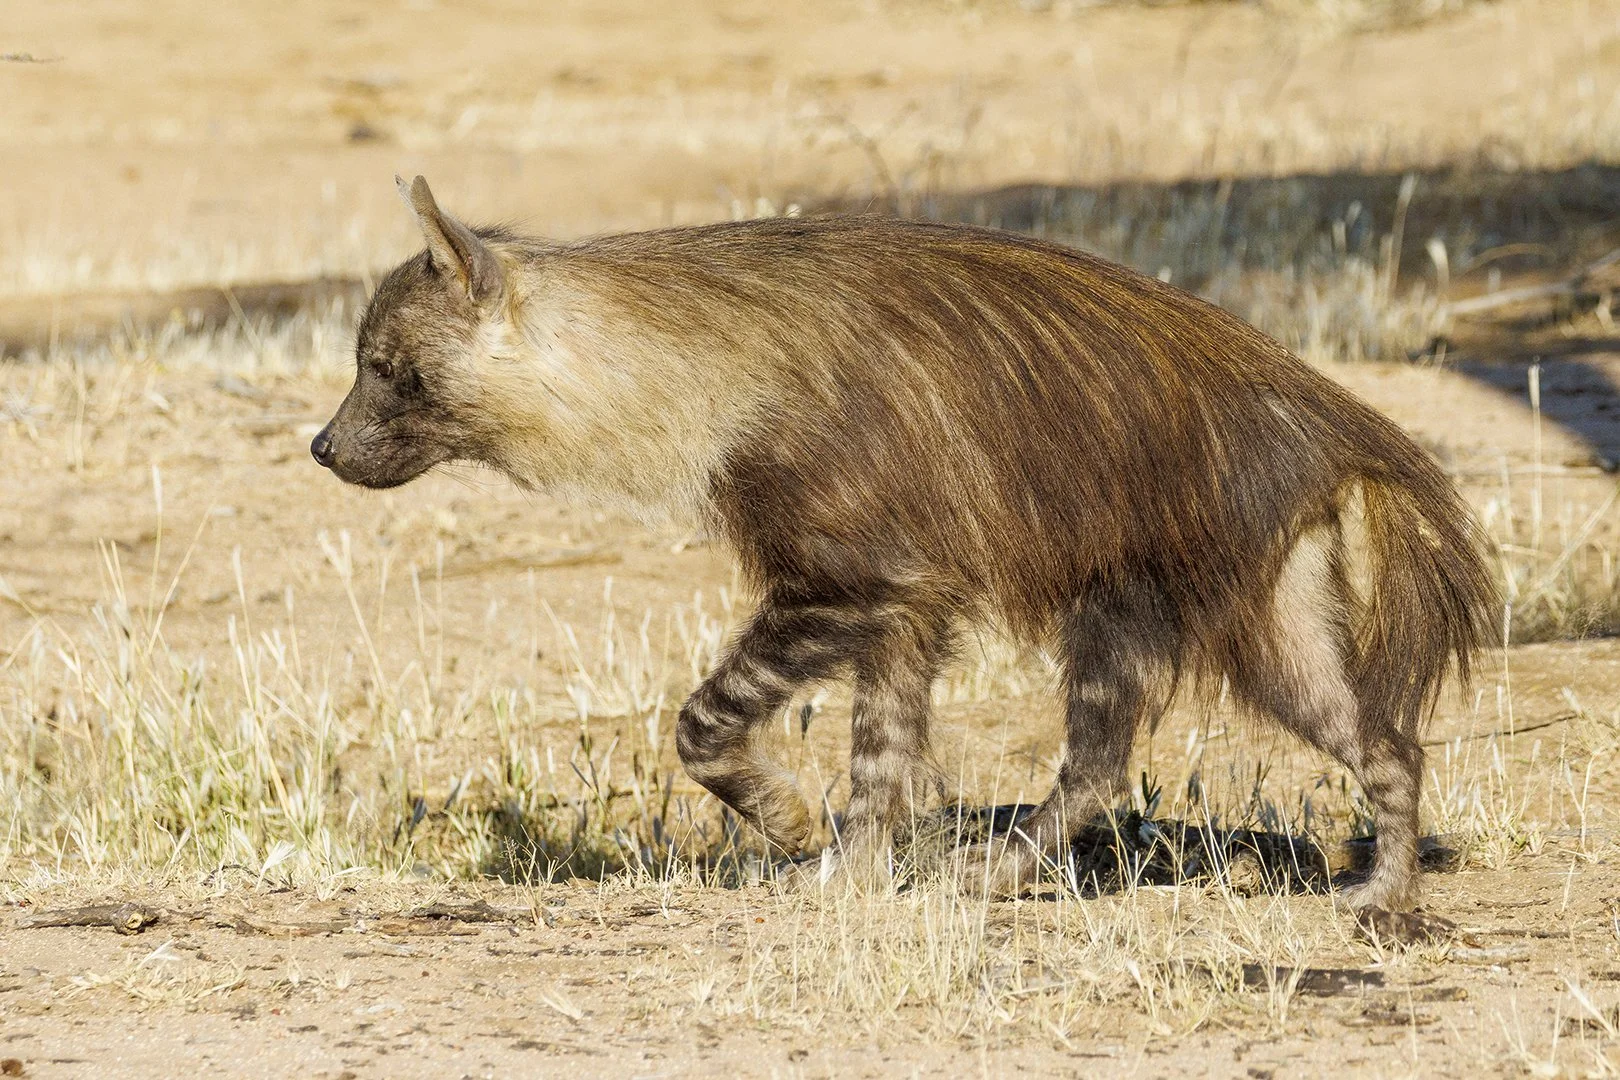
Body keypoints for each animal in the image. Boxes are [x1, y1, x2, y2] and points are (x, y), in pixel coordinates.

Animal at [313, 175, 1497, 913]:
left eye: (383, 368)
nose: (322, 445)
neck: (685, 377)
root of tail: (1343, 428)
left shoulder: (846, 569)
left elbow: (705, 720)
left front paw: (793, 828)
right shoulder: (906, 599)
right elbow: (881, 753)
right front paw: (847, 872)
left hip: (1214, 584)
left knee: (1193, 743)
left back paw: (1376, 899)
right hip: (1228, 598)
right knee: (1295, 740)